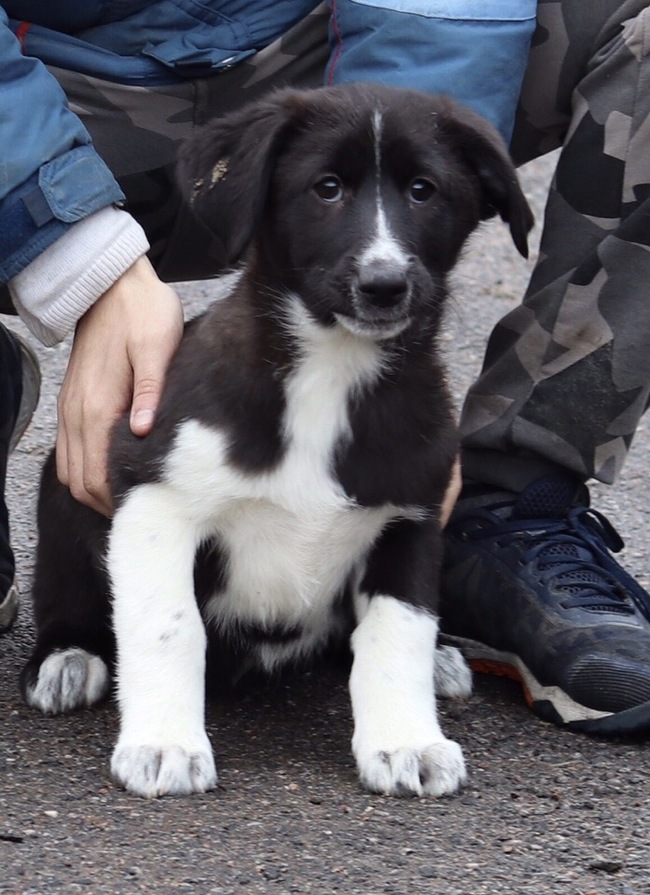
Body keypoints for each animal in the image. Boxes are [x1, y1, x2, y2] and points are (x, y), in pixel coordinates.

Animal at [21, 82, 532, 800]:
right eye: (327, 188)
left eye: (423, 191)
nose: (384, 285)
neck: (331, 372)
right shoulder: (156, 498)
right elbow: (168, 624)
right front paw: (166, 743)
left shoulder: (411, 516)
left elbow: (396, 633)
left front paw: (406, 739)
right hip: (66, 486)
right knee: (69, 594)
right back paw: (68, 655)